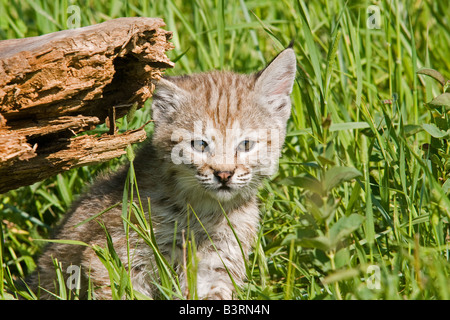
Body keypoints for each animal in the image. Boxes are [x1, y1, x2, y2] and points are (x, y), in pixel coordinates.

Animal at [32, 47, 298, 300]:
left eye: (246, 145)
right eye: (199, 145)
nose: (224, 175)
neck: (203, 210)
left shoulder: (216, 262)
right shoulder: (113, 256)